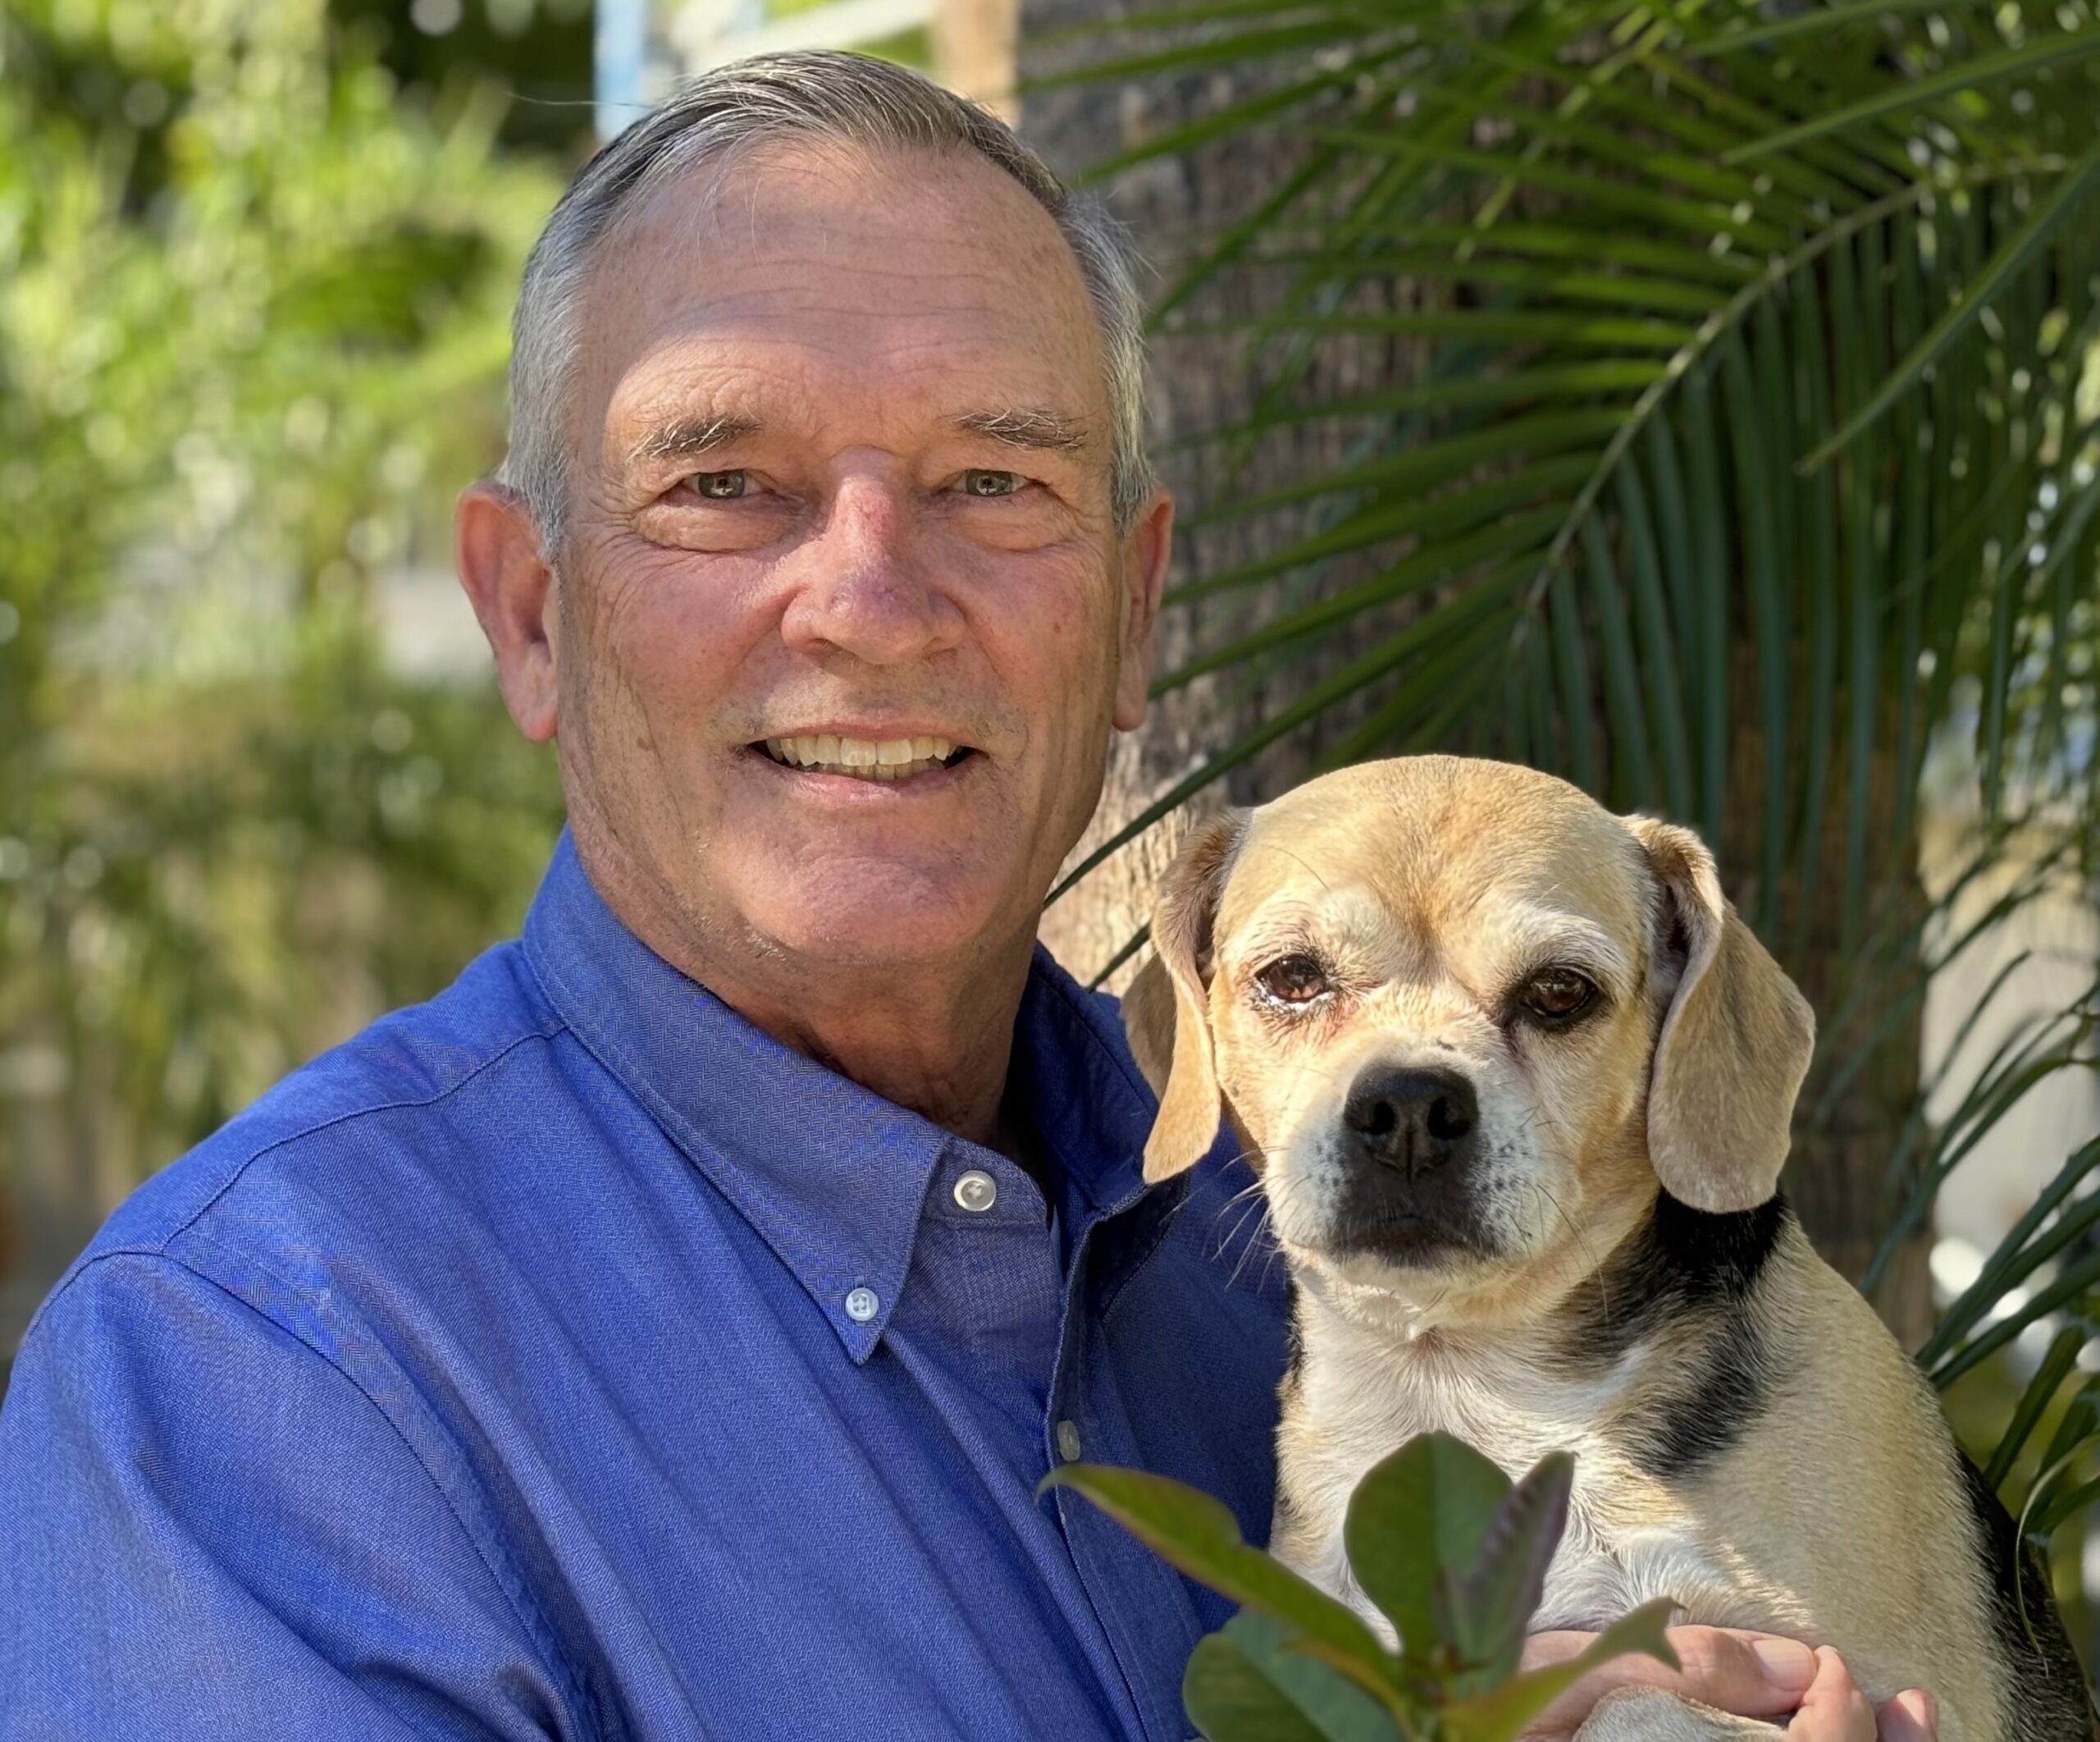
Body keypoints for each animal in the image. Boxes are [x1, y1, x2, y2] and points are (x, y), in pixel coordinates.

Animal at [1125, 756, 2091, 1740]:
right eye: (1293, 977)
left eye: (1559, 993)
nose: (1409, 1107)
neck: (1463, 1382)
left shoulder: (1911, 1698)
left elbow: (1631, 1698)